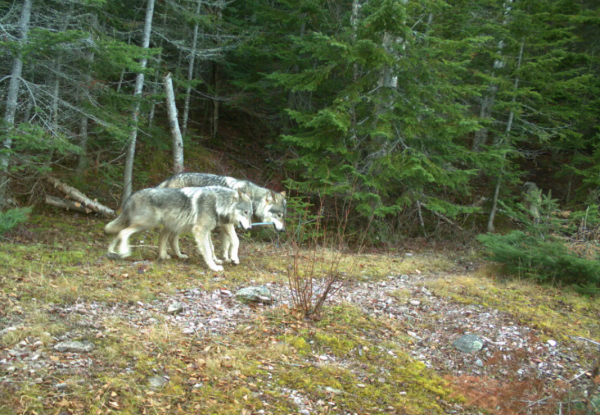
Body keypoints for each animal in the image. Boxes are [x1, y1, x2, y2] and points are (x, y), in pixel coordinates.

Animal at [104, 186, 252, 272]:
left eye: (250, 214)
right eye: (245, 212)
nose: (250, 227)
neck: (218, 202)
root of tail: (131, 197)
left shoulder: (206, 230)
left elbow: (212, 248)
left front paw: (219, 261)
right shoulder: (200, 229)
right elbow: (208, 251)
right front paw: (214, 267)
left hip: (171, 225)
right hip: (147, 224)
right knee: (123, 232)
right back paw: (124, 251)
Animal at [156, 173, 284, 264]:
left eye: (284, 215)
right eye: (279, 215)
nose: (283, 230)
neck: (250, 197)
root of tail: (168, 180)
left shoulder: (227, 225)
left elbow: (226, 245)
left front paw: (225, 258)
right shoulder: (226, 224)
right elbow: (235, 241)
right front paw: (234, 259)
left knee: (171, 238)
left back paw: (179, 255)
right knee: (163, 235)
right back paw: (163, 255)